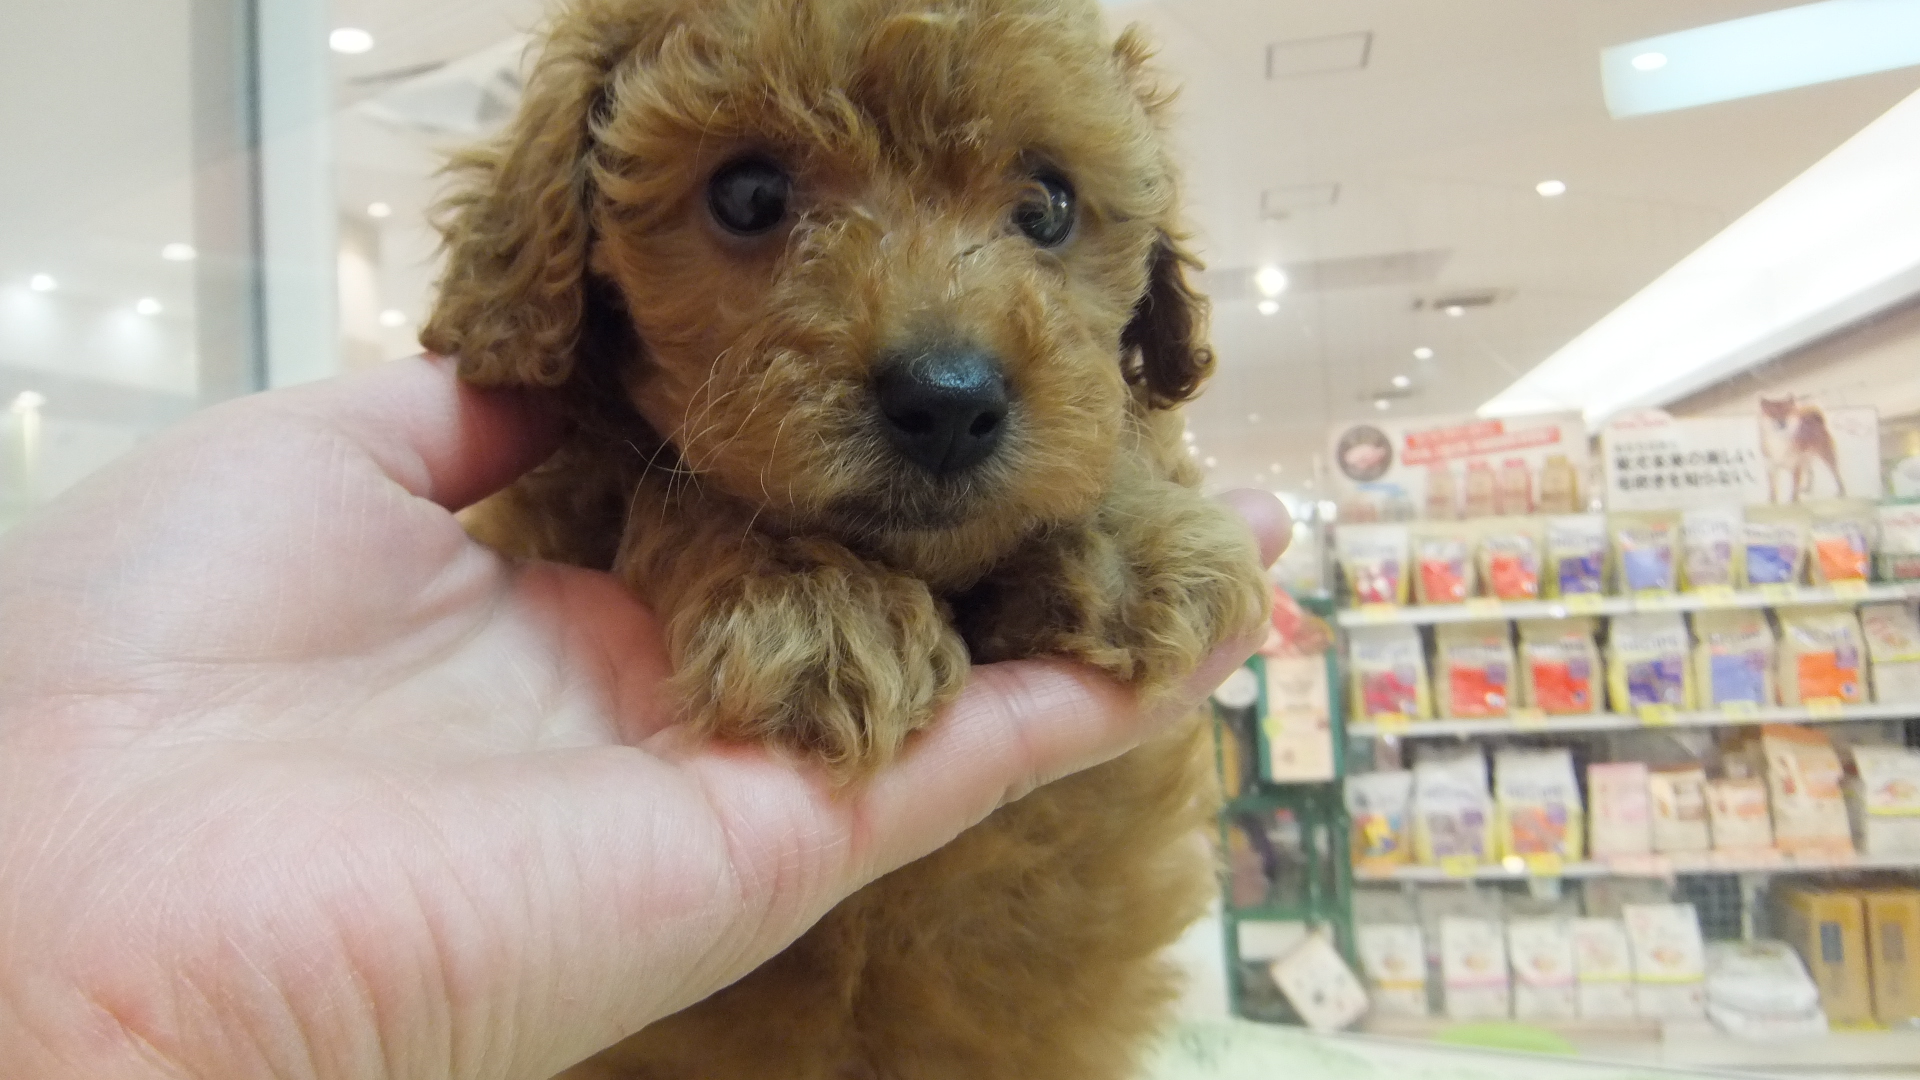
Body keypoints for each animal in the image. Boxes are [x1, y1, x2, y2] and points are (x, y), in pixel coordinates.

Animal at [420, 0, 1270, 1075]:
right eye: (747, 195)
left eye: (1048, 206)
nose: (948, 401)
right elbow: (677, 488)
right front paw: (818, 609)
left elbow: (1114, 428)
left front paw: (1137, 544)